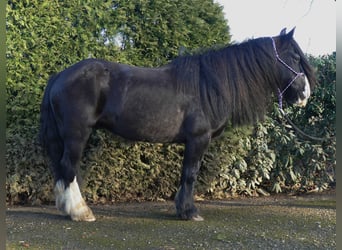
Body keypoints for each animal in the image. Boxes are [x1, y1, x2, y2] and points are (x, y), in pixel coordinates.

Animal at [39, 28, 316, 222]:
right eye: (294, 57)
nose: (305, 95)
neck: (210, 85)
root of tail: (60, 76)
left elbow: (185, 175)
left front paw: (182, 209)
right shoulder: (198, 139)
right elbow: (191, 174)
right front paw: (189, 211)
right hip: (77, 134)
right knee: (68, 166)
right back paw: (80, 212)